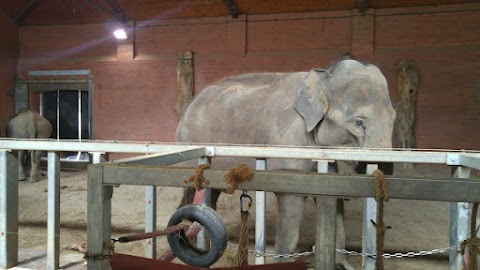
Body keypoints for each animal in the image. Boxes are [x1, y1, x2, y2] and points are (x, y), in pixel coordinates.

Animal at [174, 59, 396, 268]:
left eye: (394, 118)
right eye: (358, 122)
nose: (385, 169)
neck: (323, 77)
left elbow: (332, 203)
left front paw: (341, 264)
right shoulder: (290, 141)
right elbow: (291, 205)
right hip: (190, 144)